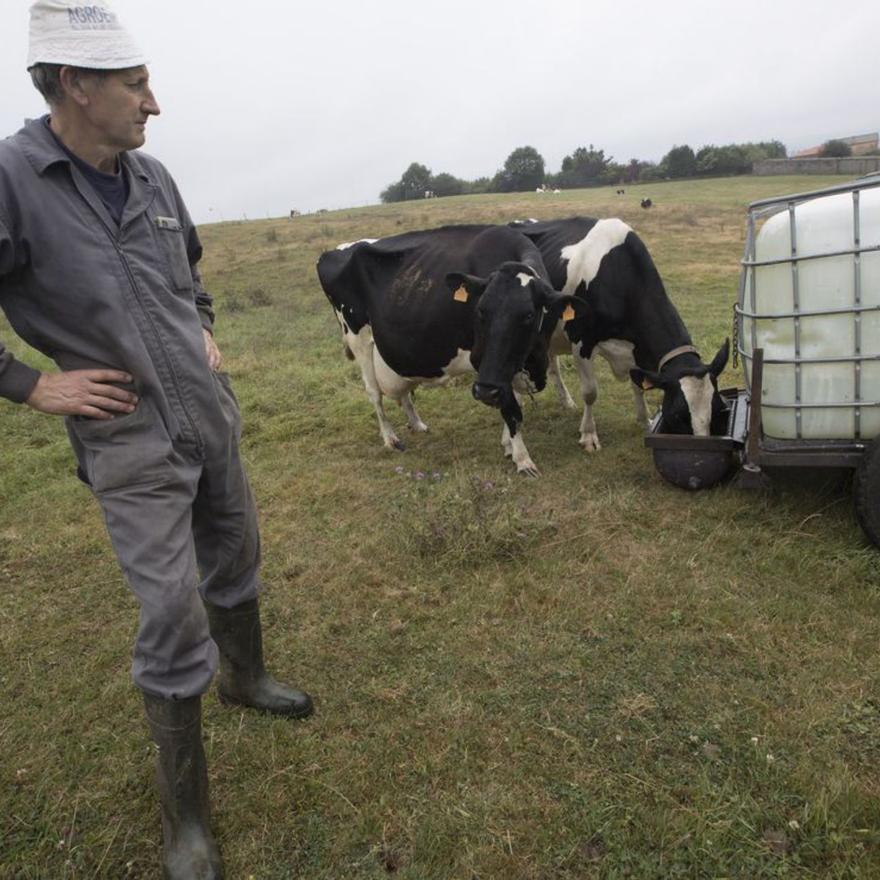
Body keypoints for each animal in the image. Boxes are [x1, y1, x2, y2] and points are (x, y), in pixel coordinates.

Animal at [316, 225, 584, 474]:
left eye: (528, 315)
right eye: (480, 311)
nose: (483, 391)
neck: (531, 357)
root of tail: (332, 251)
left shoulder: (510, 366)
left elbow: (513, 399)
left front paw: (507, 445)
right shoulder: (486, 363)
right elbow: (512, 409)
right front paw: (522, 459)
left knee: (403, 392)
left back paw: (417, 424)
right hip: (357, 337)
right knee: (374, 393)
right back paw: (390, 438)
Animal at [508, 217, 728, 450]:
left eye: (718, 410)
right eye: (678, 415)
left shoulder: (636, 349)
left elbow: (638, 386)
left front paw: (645, 421)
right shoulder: (581, 341)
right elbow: (590, 392)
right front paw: (589, 435)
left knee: (553, 366)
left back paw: (566, 402)